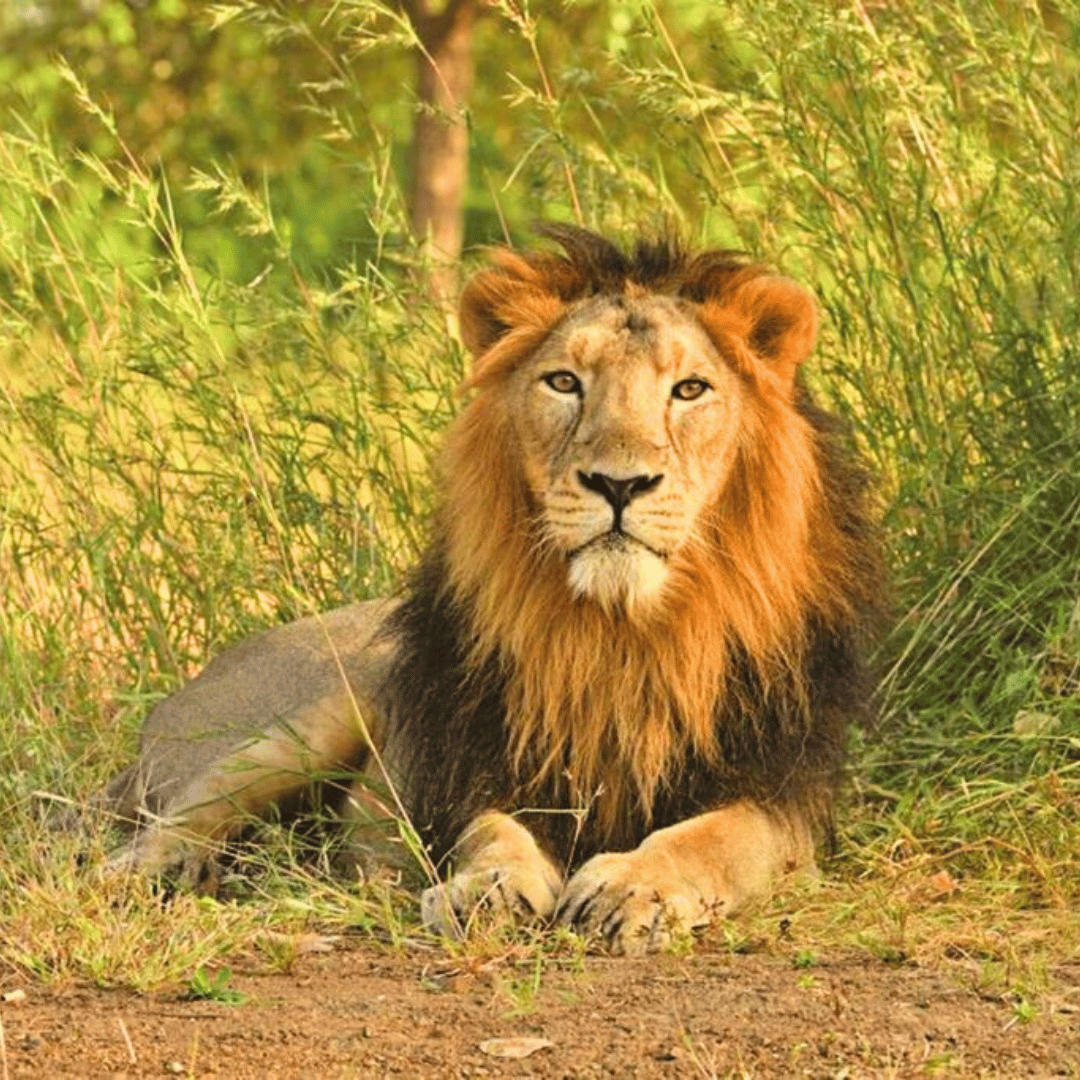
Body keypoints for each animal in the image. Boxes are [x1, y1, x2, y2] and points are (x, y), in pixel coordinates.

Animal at [92, 226, 885, 954]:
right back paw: (151, 873)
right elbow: (493, 832)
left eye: (690, 390)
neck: (622, 631)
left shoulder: (784, 795)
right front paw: (489, 890)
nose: (619, 485)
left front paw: (633, 888)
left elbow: (712, 838)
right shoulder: (477, 763)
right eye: (564, 382)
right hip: (310, 717)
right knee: (175, 819)